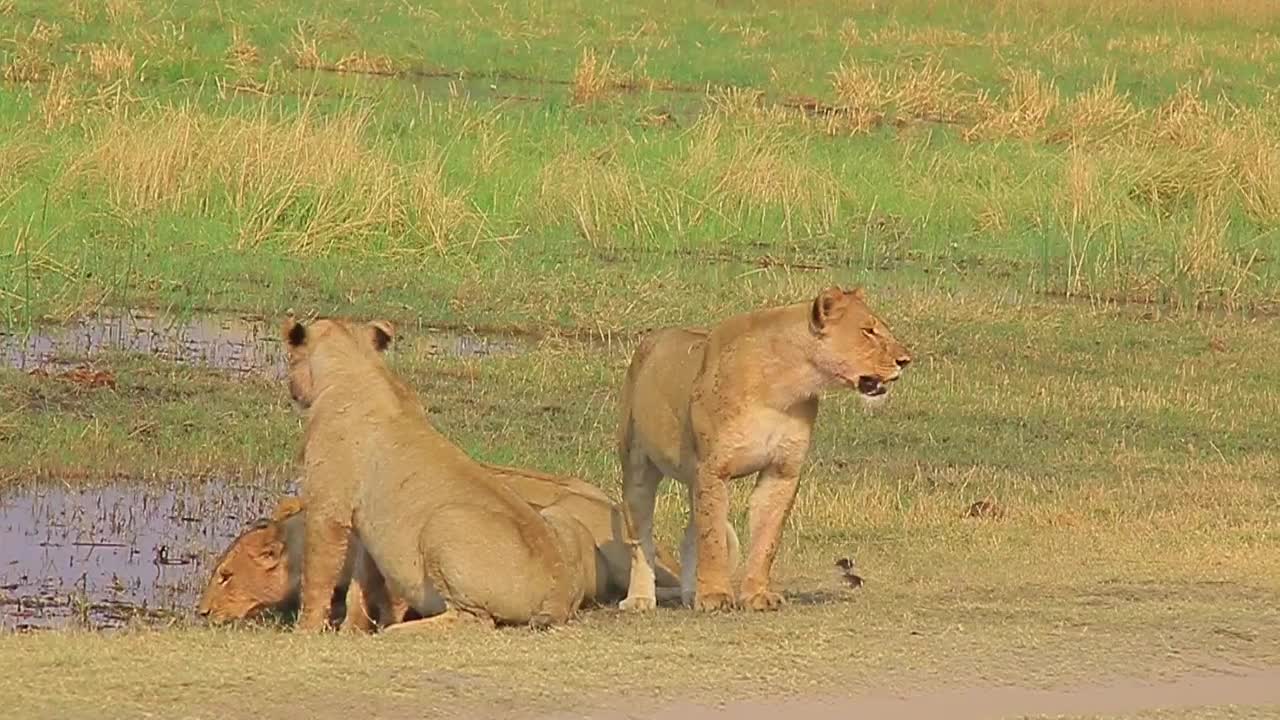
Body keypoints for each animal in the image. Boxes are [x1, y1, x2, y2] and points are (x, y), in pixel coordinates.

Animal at [619, 285, 911, 609]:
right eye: (868, 331)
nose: (906, 360)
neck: (784, 384)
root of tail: (653, 337)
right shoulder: (713, 469)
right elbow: (713, 540)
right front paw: (715, 596)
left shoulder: (781, 470)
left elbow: (766, 539)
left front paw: (756, 595)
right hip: (638, 466)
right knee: (642, 538)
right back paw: (641, 599)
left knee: (690, 533)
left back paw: (690, 593)